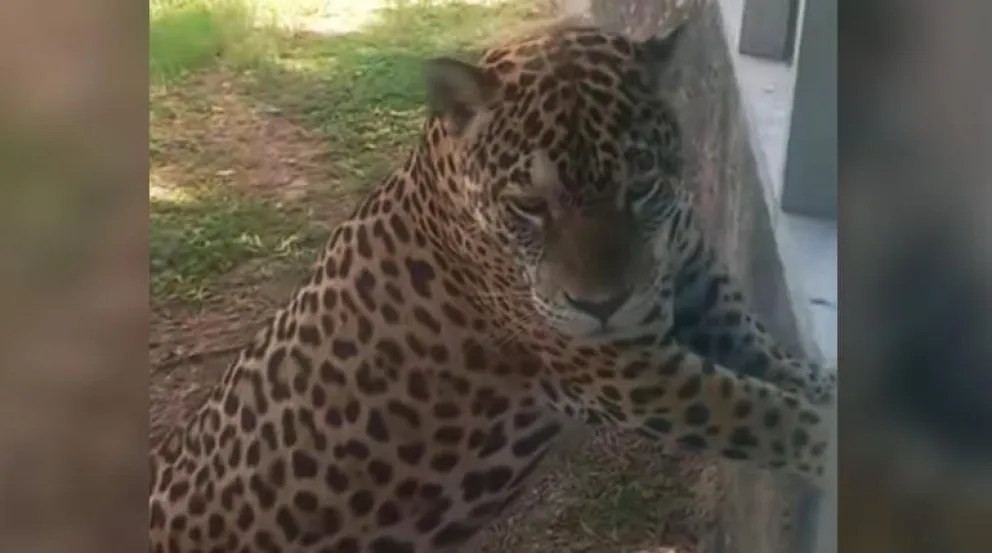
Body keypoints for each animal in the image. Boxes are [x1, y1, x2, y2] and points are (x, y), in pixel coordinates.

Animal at [149, 18, 836, 553]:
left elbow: (781, 369)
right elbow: (763, 412)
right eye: (530, 206)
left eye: (641, 187)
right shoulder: (625, 366)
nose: (602, 305)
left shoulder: (699, 298)